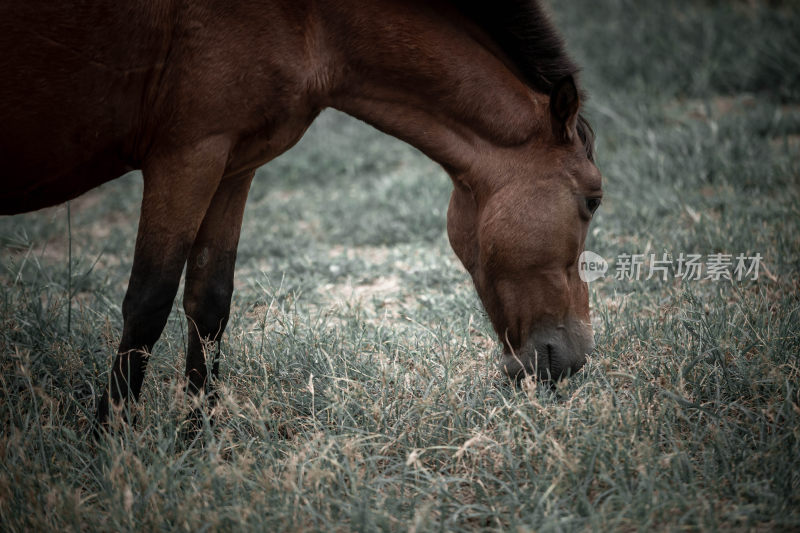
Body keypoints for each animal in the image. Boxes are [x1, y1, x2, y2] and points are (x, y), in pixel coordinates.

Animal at [0, 0, 600, 428]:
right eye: (593, 199)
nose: (576, 359)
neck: (311, 17)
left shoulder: (231, 164)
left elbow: (209, 303)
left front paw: (200, 440)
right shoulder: (186, 156)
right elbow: (148, 305)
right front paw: (113, 446)